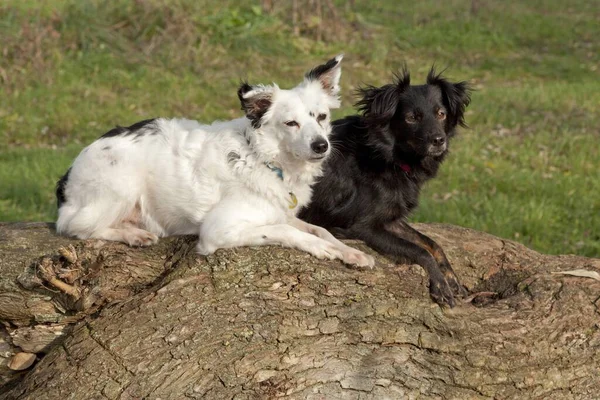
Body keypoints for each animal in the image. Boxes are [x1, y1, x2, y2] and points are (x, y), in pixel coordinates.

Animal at [56, 54, 376, 268]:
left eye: (321, 117)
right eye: (291, 123)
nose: (321, 146)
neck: (261, 157)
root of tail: (68, 174)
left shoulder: (279, 211)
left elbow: (319, 228)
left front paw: (349, 252)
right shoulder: (217, 230)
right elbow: (286, 231)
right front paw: (323, 249)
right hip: (121, 184)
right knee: (76, 226)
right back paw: (133, 235)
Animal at [300, 68, 474, 306]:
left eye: (441, 114)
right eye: (411, 118)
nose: (439, 140)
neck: (388, 156)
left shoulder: (391, 218)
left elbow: (431, 243)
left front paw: (451, 278)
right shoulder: (364, 227)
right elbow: (418, 250)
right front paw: (440, 284)